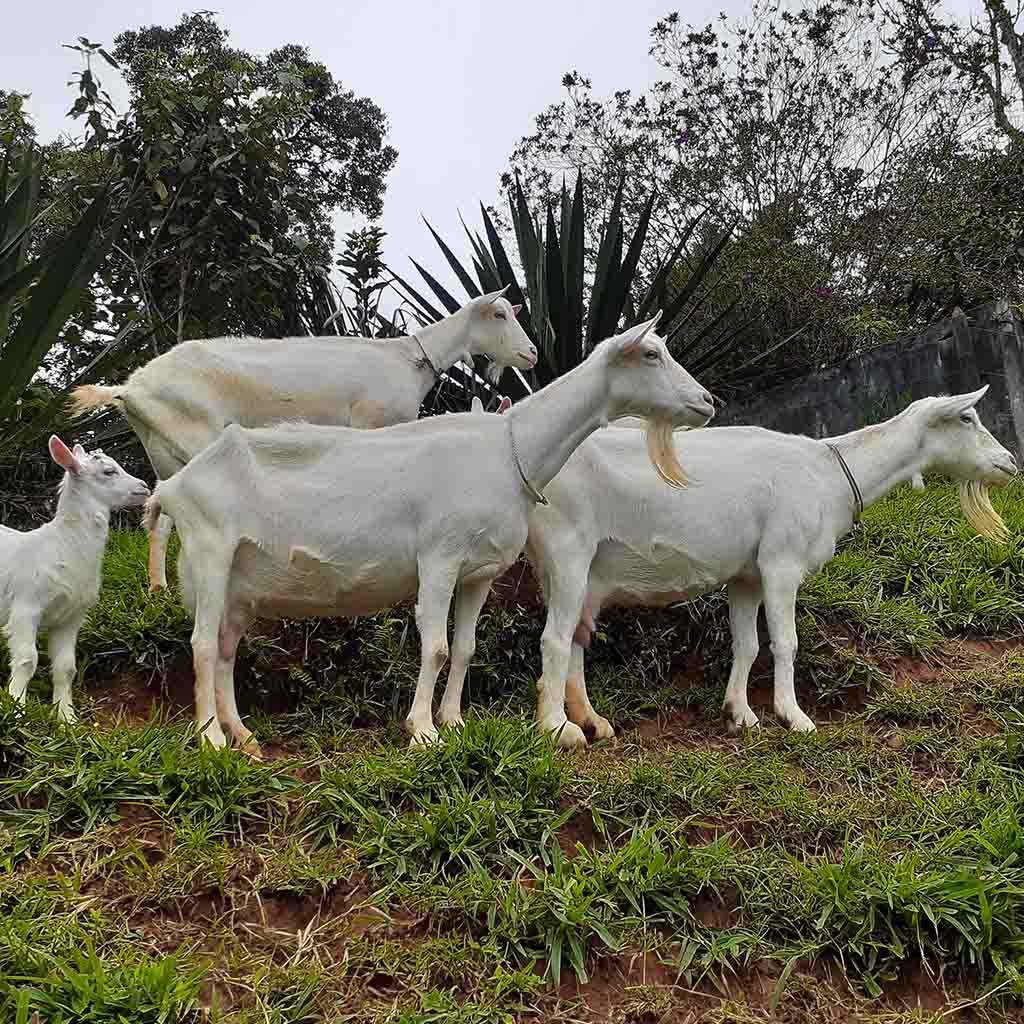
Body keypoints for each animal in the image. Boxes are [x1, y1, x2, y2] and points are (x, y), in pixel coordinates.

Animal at [1, 438, 149, 720]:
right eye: (108, 471)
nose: (144, 486)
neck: (63, 545)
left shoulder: (71, 616)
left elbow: (66, 667)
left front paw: (66, 718)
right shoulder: (26, 606)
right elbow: (27, 660)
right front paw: (16, 710)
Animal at [68, 288, 540, 593]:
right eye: (499, 315)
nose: (532, 353)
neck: (408, 358)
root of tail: (131, 388)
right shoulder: (374, 423)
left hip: (162, 448)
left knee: (161, 516)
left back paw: (158, 587)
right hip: (196, 438)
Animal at [148, 315, 716, 757]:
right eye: (650, 353)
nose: (708, 401)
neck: (506, 451)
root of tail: (176, 485)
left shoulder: (480, 572)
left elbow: (464, 648)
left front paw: (454, 721)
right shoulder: (439, 558)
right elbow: (436, 646)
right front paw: (422, 731)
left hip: (241, 584)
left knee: (225, 648)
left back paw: (242, 735)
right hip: (210, 551)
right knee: (202, 644)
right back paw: (211, 738)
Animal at [438, 385, 1015, 745]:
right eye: (967, 417)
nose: (1009, 462)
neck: (829, 471)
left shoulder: (747, 575)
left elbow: (747, 644)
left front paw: (742, 713)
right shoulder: (781, 562)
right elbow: (785, 642)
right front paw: (793, 716)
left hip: (580, 571)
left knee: (576, 636)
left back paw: (594, 721)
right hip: (568, 550)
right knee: (555, 640)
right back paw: (559, 728)